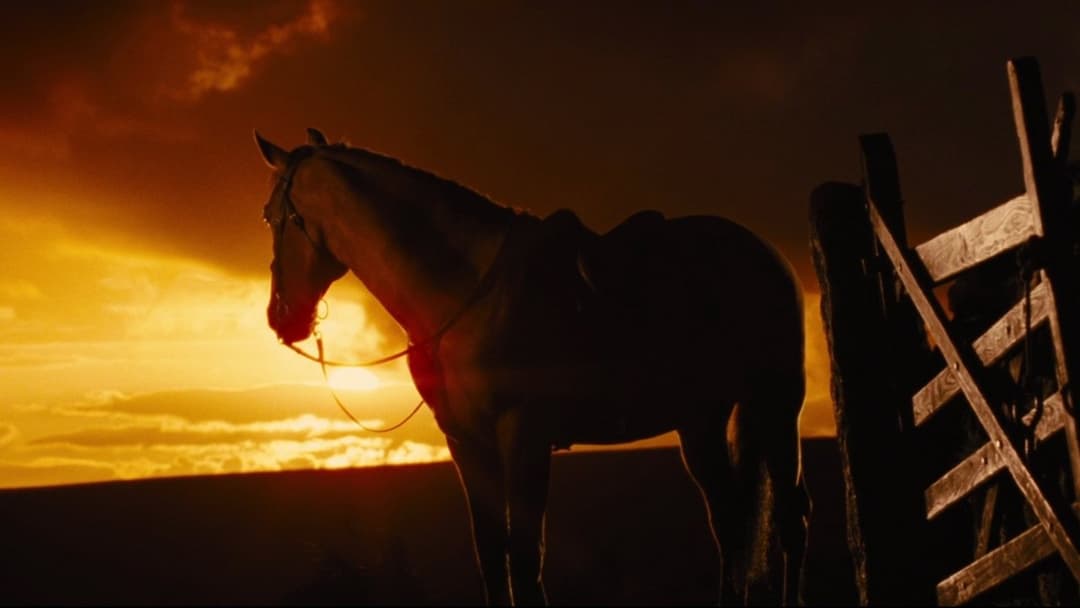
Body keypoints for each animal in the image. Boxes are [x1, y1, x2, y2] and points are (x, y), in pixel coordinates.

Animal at [254, 128, 810, 606]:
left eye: (271, 216)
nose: (281, 317)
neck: (464, 294)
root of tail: (764, 254)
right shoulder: (464, 440)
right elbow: (491, 555)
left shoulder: (523, 433)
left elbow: (524, 559)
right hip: (700, 421)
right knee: (730, 523)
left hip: (777, 407)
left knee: (789, 519)